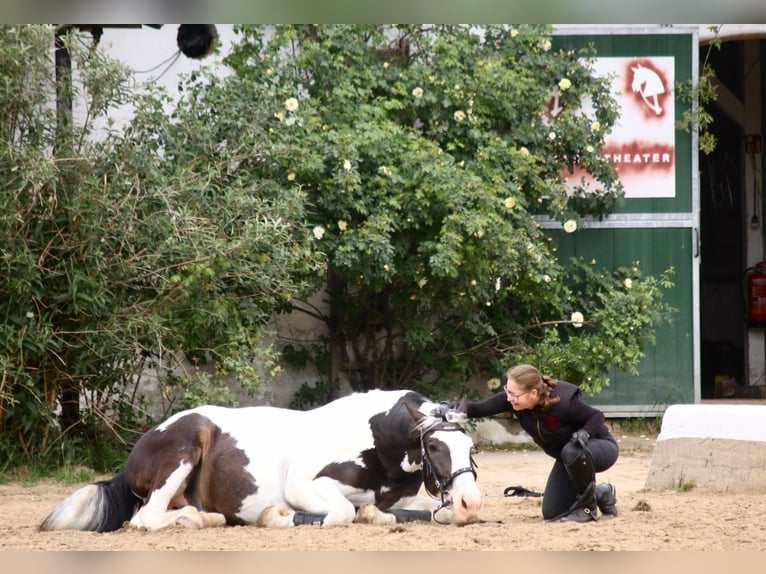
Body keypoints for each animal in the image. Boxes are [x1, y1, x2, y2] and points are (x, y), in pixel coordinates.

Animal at [39, 390, 484, 532]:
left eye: (470, 448)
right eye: (435, 448)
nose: (471, 503)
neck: (376, 442)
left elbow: (420, 512)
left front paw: (379, 514)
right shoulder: (304, 487)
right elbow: (341, 511)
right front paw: (278, 517)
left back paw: (207, 517)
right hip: (183, 450)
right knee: (146, 517)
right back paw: (199, 520)